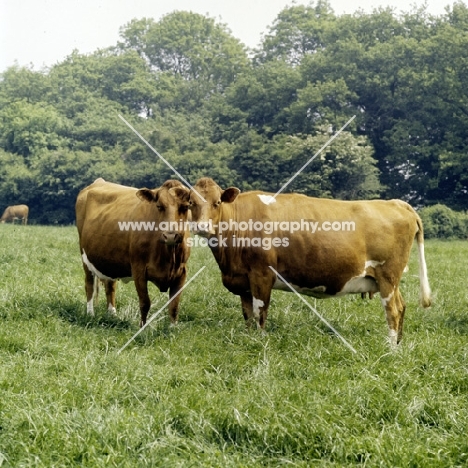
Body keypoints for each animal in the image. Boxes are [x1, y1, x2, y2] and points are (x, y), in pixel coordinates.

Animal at [75, 177, 190, 328]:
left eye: (185, 207)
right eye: (159, 206)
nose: (170, 236)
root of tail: (99, 181)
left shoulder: (181, 272)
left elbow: (174, 305)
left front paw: (172, 328)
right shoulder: (138, 270)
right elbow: (145, 302)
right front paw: (143, 328)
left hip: (109, 260)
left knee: (110, 286)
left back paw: (112, 315)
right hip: (85, 258)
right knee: (89, 285)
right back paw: (90, 314)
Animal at [188, 177, 430, 346]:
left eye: (217, 202)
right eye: (191, 202)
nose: (202, 227)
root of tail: (396, 203)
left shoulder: (261, 274)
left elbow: (259, 313)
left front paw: (260, 342)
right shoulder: (243, 281)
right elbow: (247, 315)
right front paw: (248, 339)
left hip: (388, 275)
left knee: (393, 311)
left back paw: (390, 348)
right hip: (387, 280)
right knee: (402, 306)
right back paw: (399, 344)